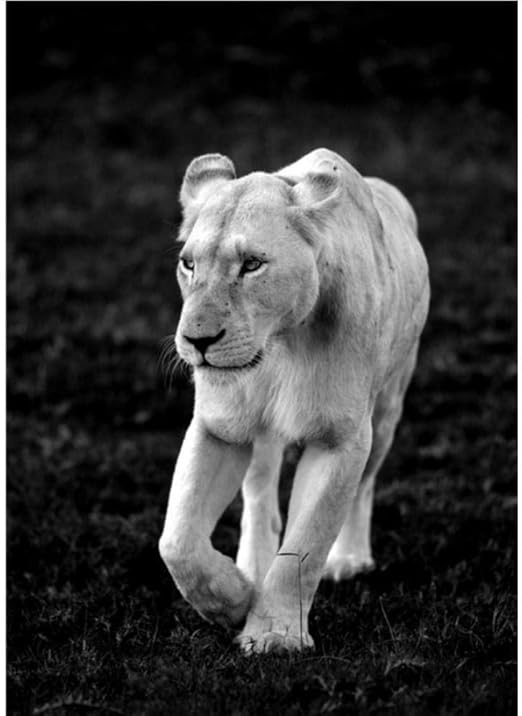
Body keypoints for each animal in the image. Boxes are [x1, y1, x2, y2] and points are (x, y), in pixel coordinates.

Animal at [159, 148, 430, 654]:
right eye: (189, 264)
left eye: (251, 264)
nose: (198, 341)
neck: (279, 344)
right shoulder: (218, 425)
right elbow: (178, 541)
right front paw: (233, 602)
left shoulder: (340, 439)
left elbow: (304, 547)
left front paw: (274, 634)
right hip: (259, 433)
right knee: (260, 493)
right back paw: (250, 568)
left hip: (387, 408)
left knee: (365, 486)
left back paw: (348, 559)